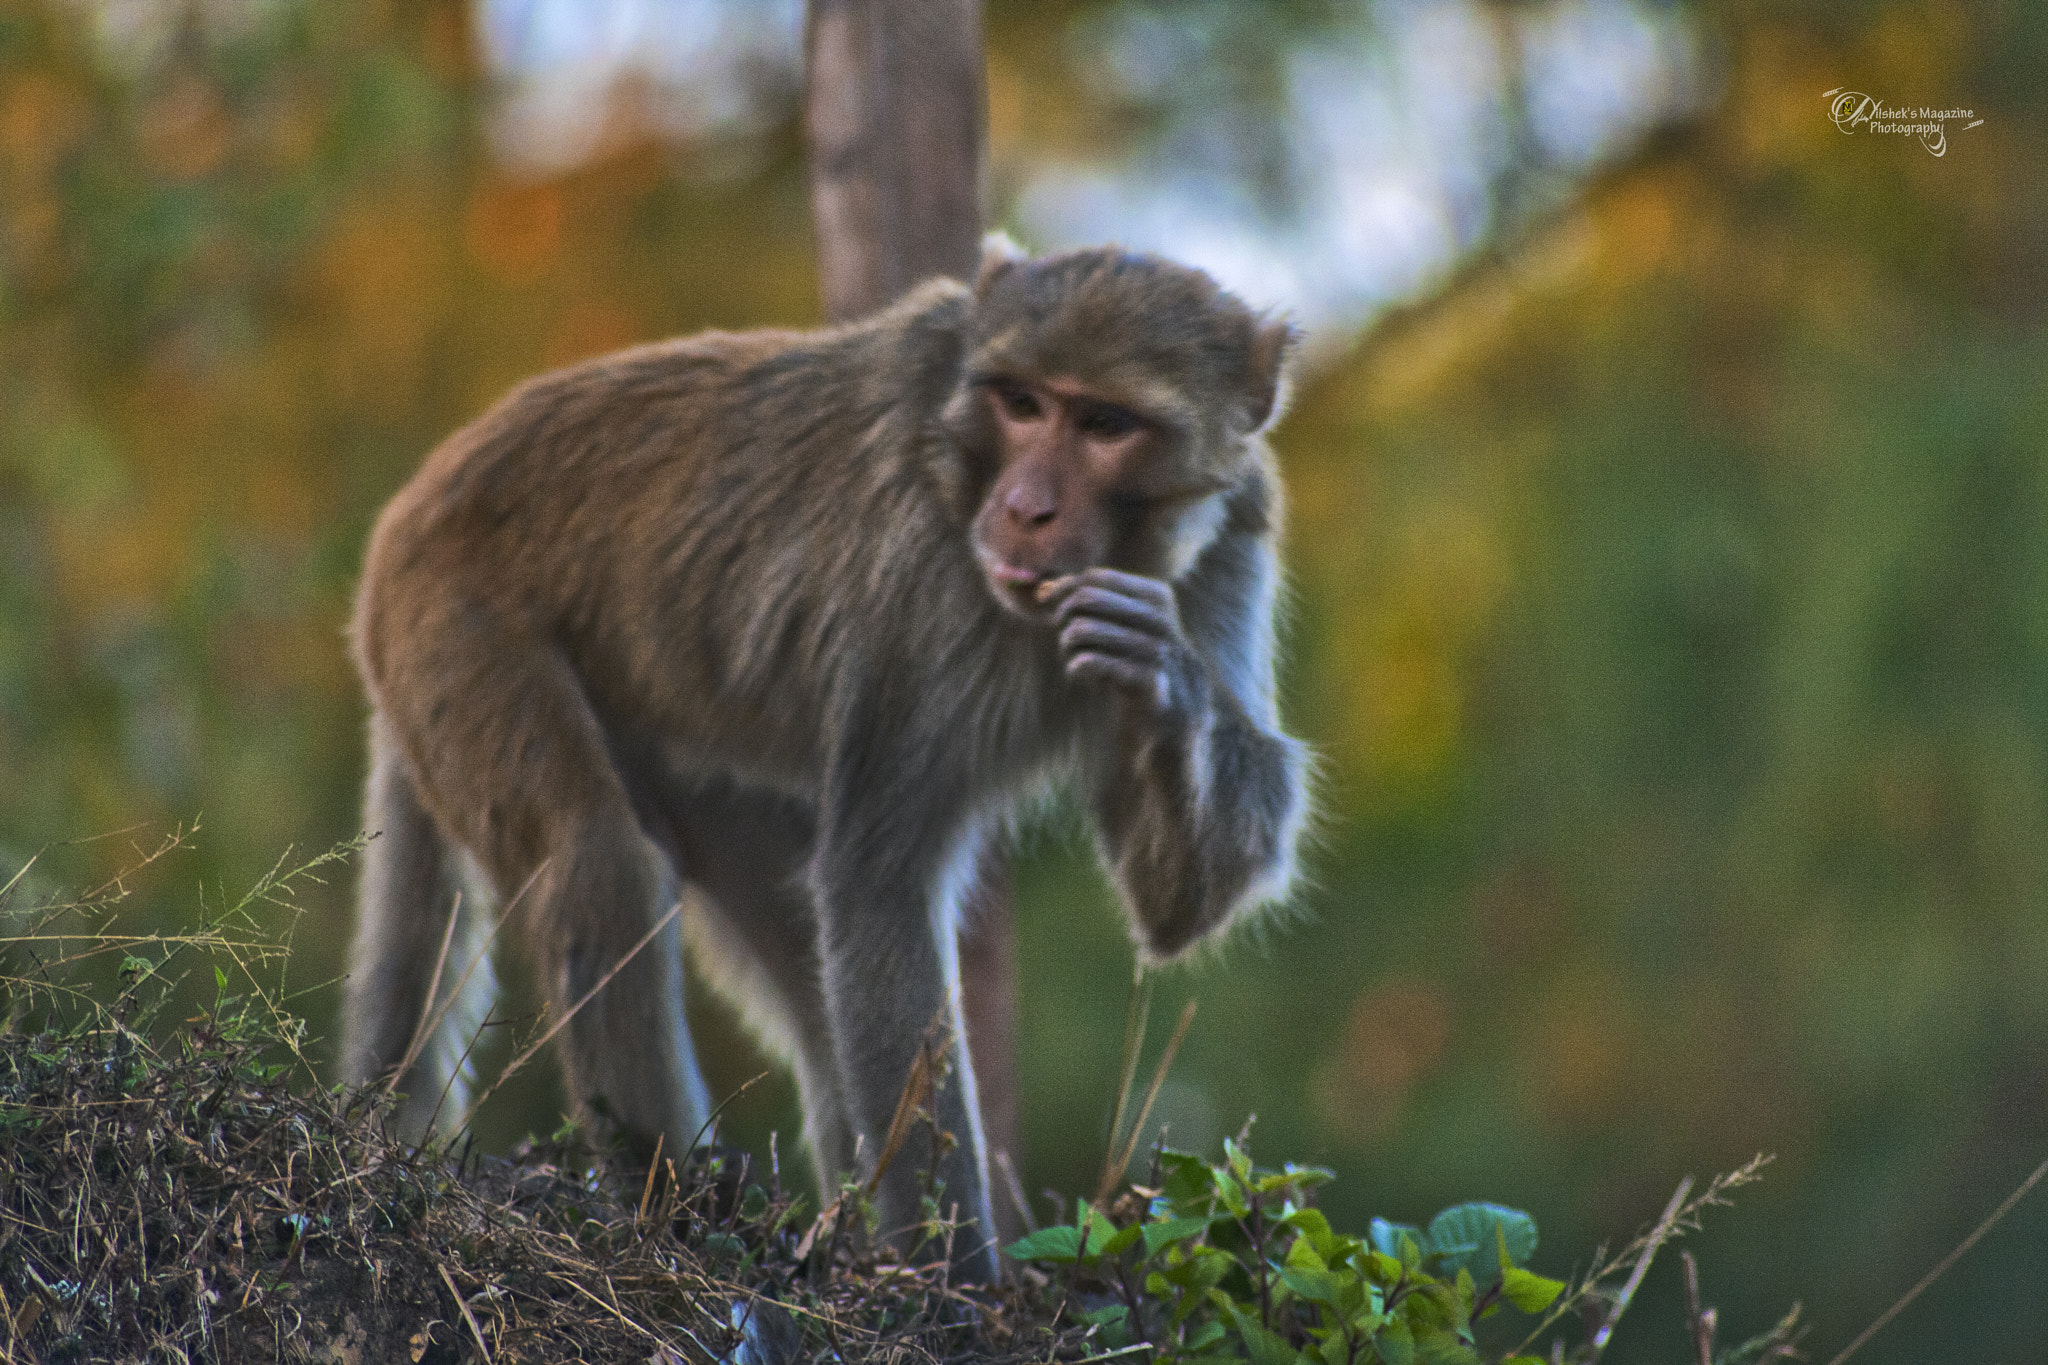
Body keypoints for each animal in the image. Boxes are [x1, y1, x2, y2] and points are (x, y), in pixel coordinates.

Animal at [339, 239, 1310, 1282]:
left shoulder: (1236, 528)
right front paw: (958, 1284)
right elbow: (877, 882)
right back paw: (679, 1211)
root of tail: (415, 501)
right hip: (453, 618)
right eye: (1022, 403)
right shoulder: (922, 576)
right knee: (597, 855)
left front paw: (1165, 675)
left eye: (1105, 423)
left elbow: (1179, 909)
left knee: (801, 963)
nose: (1024, 507)